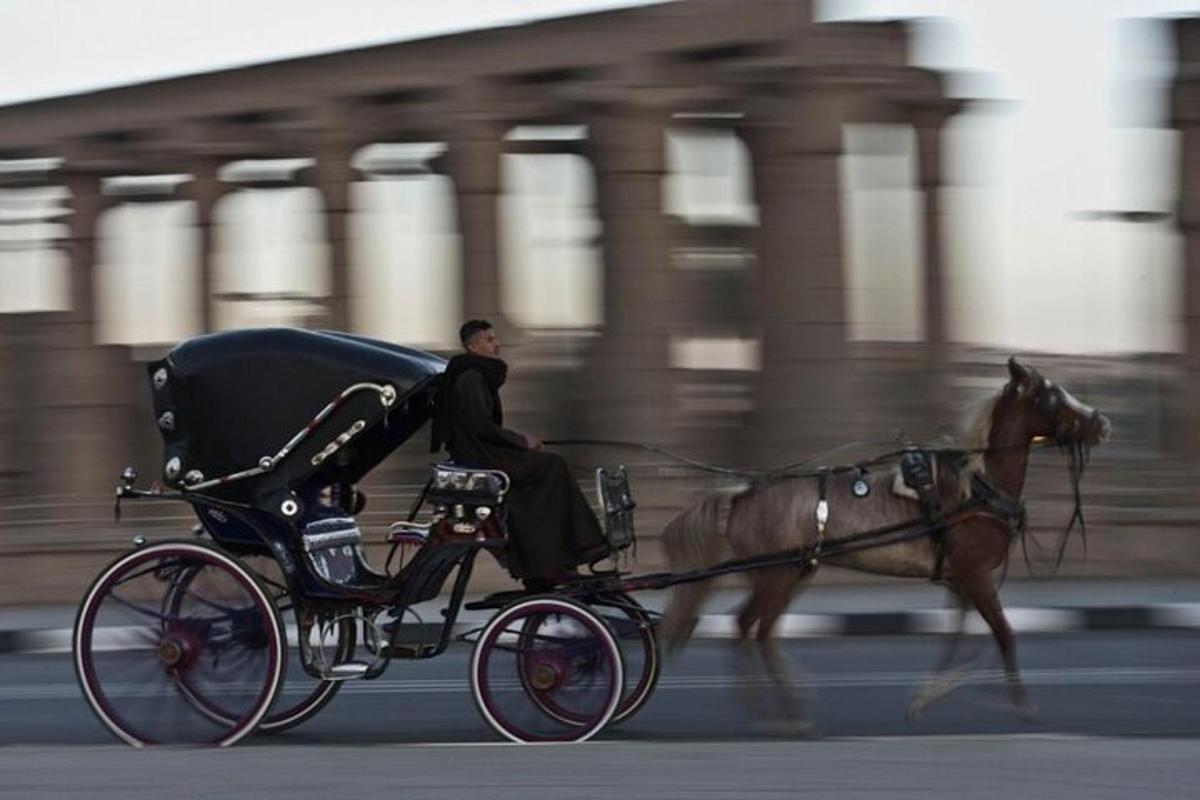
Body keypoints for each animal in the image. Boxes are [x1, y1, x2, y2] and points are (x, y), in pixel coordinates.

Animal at [662, 357, 1108, 734]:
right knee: (746, 626)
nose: (1102, 422)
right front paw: (1021, 705)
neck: (974, 487)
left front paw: (924, 698)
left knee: (760, 631)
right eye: (1052, 394)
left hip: (794, 574)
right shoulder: (975, 575)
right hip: (776, 575)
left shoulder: (961, 579)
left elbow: (958, 639)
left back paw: (787, 704)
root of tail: (741, 495)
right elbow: (1003, 634)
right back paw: (773, 709)